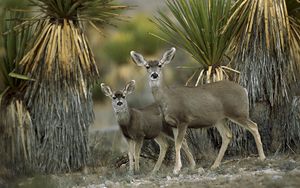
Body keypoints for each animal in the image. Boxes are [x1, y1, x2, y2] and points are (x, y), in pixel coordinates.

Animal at [130, 47, 266, 174]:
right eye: (147, 66)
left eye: (160, 65)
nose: (154, 75)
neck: (167, 99)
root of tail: (244, 90)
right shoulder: (172, 124)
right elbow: (181, 143)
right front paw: (188, 166)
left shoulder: (183, 119)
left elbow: (178, 143)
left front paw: (176, 169)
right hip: (219, 119)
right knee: (227, 135)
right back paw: (215, 165)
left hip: (238, 112)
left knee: (254, 126)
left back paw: (262, 158)